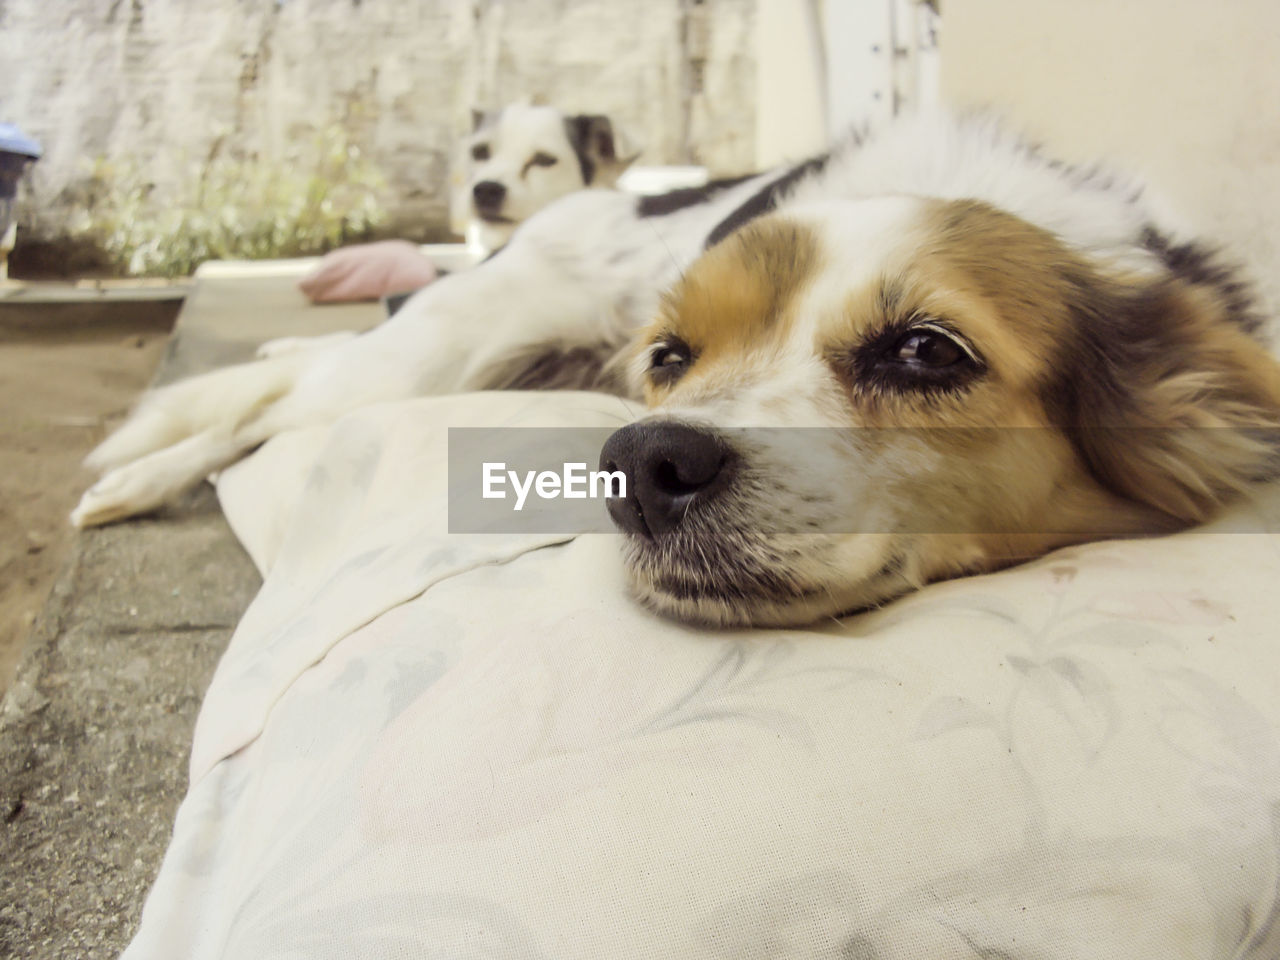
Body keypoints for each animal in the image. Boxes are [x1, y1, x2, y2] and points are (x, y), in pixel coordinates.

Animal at [72, 110, 1280, 632]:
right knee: (264, 418)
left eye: (928, 350)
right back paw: (134, 476)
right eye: (669, 357)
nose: (642, 467)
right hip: (429, 359)